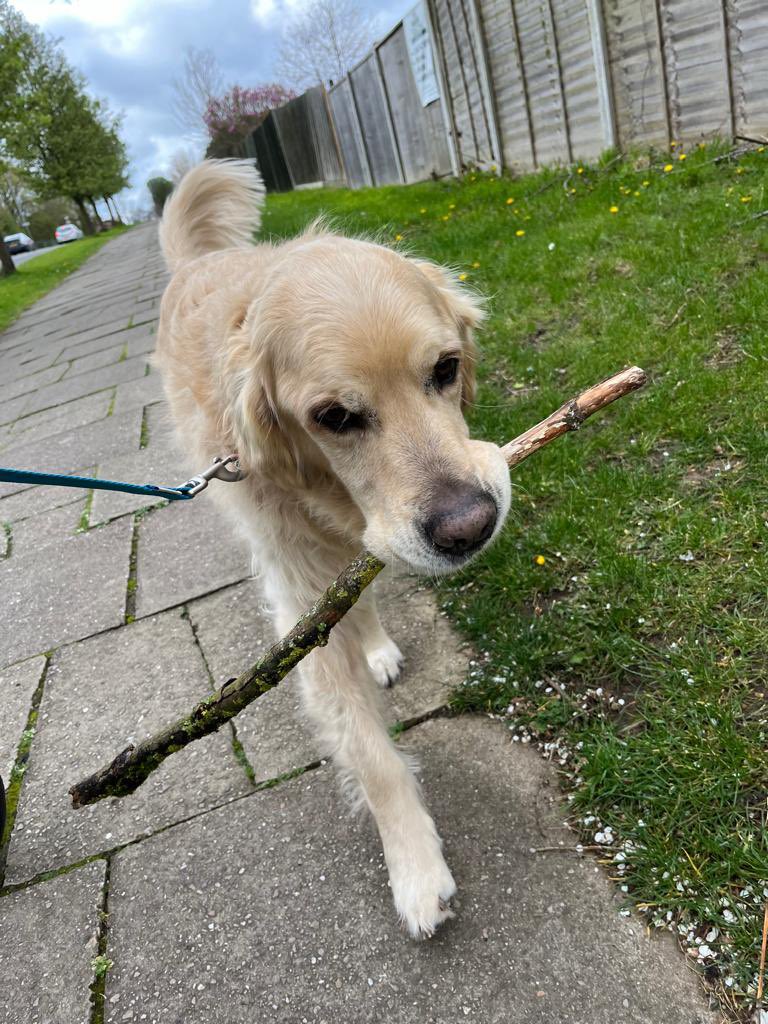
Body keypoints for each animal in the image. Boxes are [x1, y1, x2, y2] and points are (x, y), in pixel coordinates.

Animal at [155, 159, 512, 937]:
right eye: (334, 417)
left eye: (445, 369)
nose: (469, 525)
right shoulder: (298, 598)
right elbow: (371, 756)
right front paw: (416, 870)